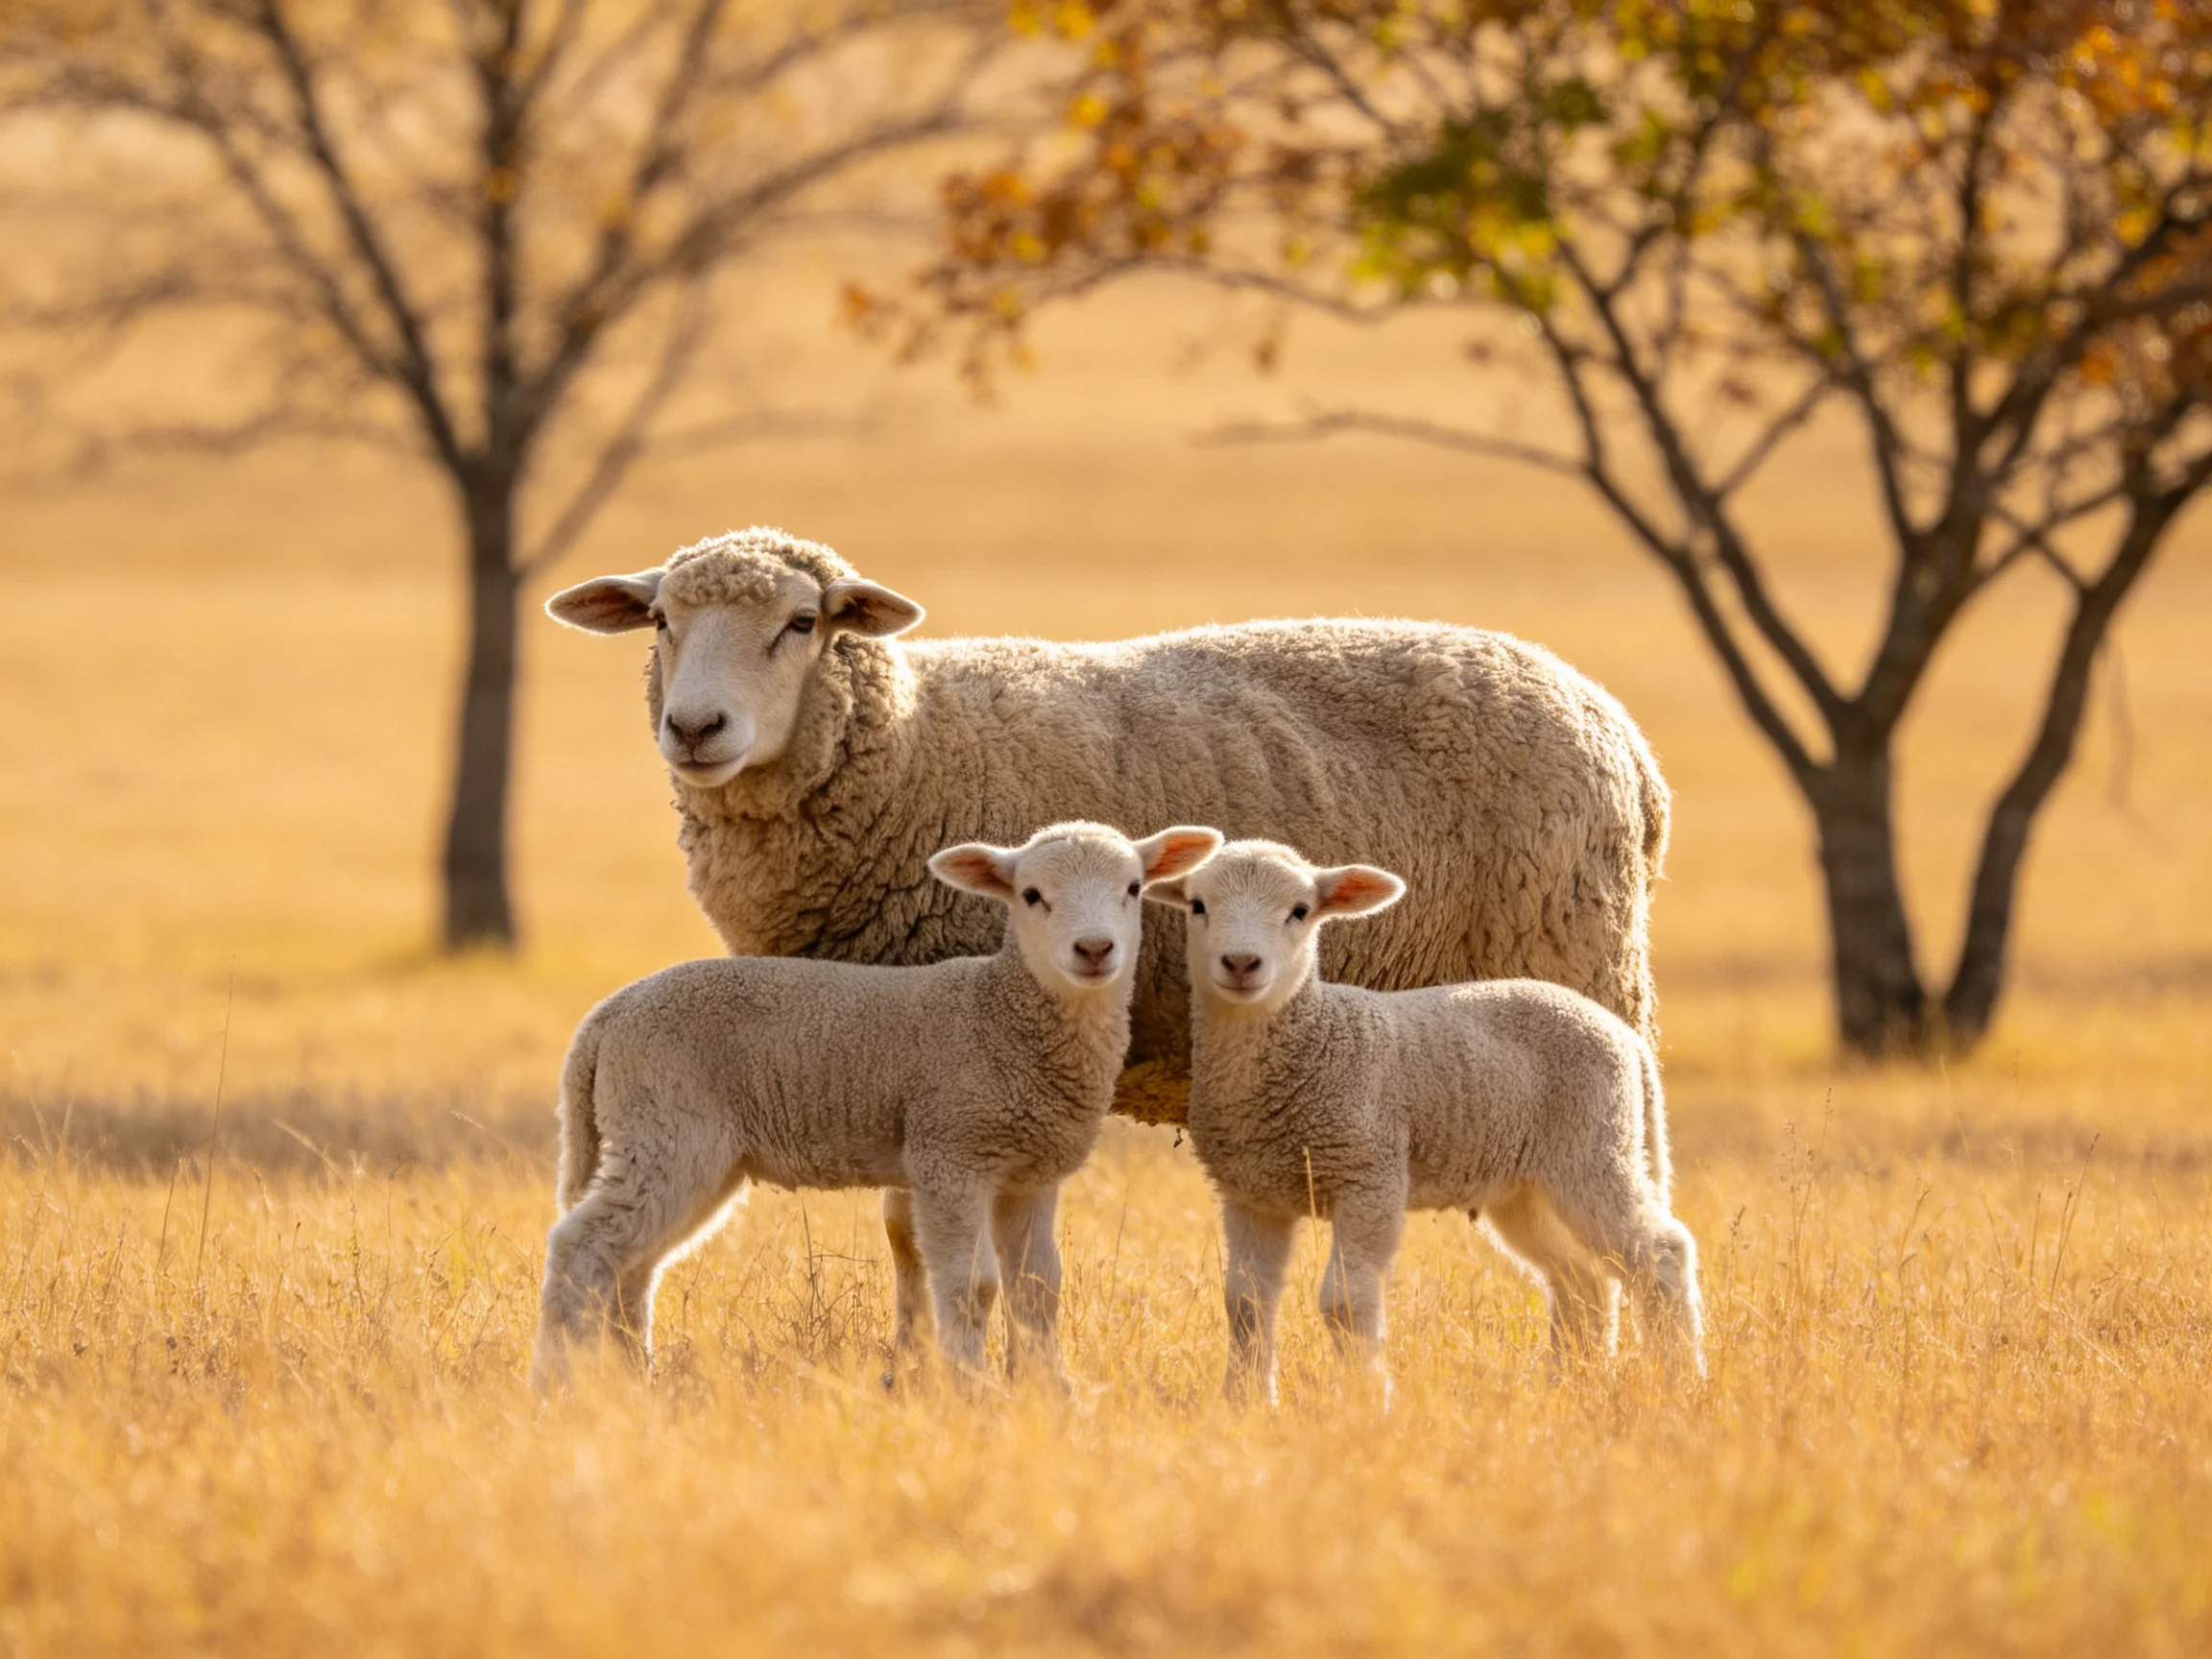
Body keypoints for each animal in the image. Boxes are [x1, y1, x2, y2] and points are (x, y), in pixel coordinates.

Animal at [529, 821, 1224, 1396]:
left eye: (1133, 888)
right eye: (1031, 895)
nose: (1095, 949)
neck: (1000, 1013)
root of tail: (604, 1020)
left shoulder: (1029, 1173)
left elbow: (1038, 1288)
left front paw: (1050, 1393)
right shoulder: (948, 1151)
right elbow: (972, 1286)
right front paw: (971, 1389)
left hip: (686, 1148)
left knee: (633, 1265)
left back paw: (629, 1377)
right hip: (668, 1127)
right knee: (582, 1247)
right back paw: (557, 1383)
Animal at [545, 526, 1671, 1129]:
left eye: (803, 623)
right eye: (661, 621)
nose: (696, 727)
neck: (915, 743)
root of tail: (1617, 727)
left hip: (1577, 957)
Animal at [1146, 839, 1703, 1404]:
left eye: (1300, 911)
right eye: (1198, 906)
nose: (1241, 963)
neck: (1310, 1040)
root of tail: (1623, 1036)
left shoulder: (1370, 1173)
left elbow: (1345, 1302)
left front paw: (1366, 1400)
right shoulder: (1251, 1193)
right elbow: (1246, 1302)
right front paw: (1245, 1402)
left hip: (1592, 1148)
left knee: (1661, 1255)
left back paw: (1679, 1379)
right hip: (1525, 1186)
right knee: (1581, 1277)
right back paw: (1569, 1384)